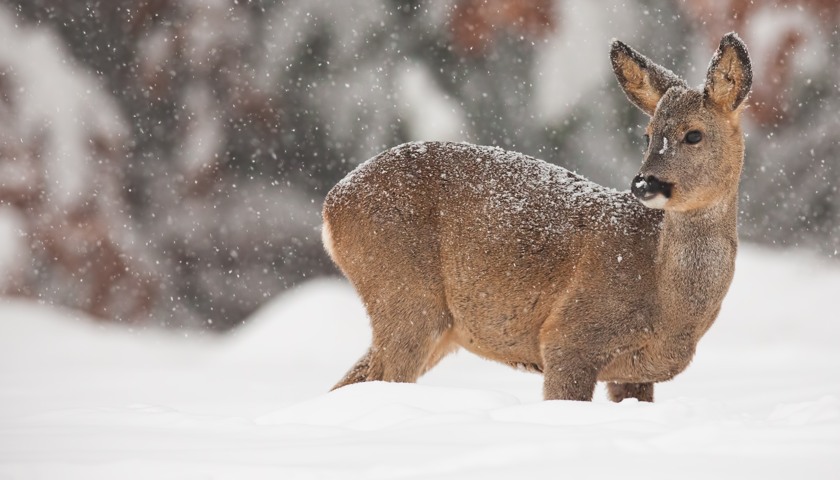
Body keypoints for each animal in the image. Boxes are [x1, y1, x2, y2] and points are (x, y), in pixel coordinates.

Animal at [324, 32, 756, 402]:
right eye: (647, 135)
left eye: (694, 134)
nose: (644, 183)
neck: (669, 305)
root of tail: (332, 205)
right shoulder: (569, 336)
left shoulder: (634, 373)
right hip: (406, 293)